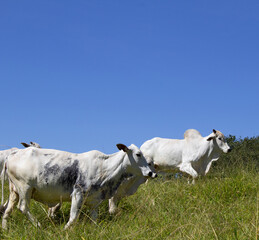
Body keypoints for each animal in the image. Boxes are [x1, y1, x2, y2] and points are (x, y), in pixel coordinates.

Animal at [1, 143, 156, 230]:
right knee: (23, 208)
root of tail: (13, 154)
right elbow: (74, 217)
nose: (151, 173)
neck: (104, 167)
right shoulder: (77, 193)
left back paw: (5, 228)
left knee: (7, 210)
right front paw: (64, 230)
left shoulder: (94, 200)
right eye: (138, 154)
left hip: (14, 191)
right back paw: (38, 226)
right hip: (24, 188)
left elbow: (94, 219)